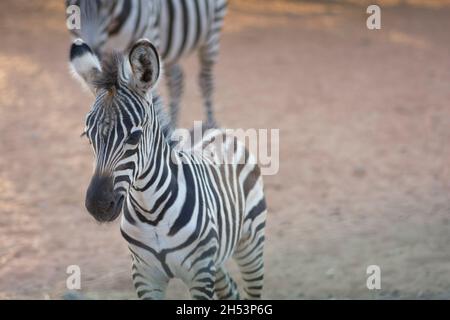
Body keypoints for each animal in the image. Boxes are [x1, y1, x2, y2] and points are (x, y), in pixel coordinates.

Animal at [66, 0, 229, 127]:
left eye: (106, 4)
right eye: (74, 6)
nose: (95, 51)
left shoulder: (148, 37)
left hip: (212, 32)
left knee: (205, 81)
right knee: (176, 80)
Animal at [69, 38, 268, 300]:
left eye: (134, 137)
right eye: (87, 135)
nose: (98, 205)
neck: (151, 213)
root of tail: (212, 128)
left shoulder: (199, 274)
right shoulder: (144, 275)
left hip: (250, 244)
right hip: (216, 259)